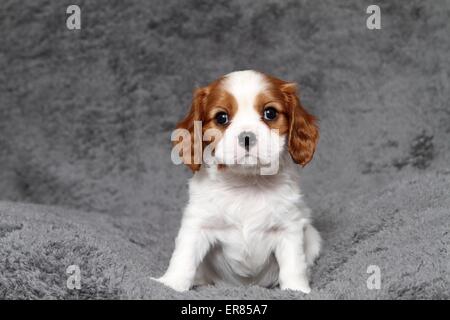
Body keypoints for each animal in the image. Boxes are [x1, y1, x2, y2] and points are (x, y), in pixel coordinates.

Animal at [154, 70, 320, 292]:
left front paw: (296, 290)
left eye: (270, 113)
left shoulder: (289, 227)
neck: (246, 182)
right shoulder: (197, 224)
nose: (247, 137)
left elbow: (293, 265)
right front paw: (170, 284)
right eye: (221, 117)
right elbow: (184, 257)